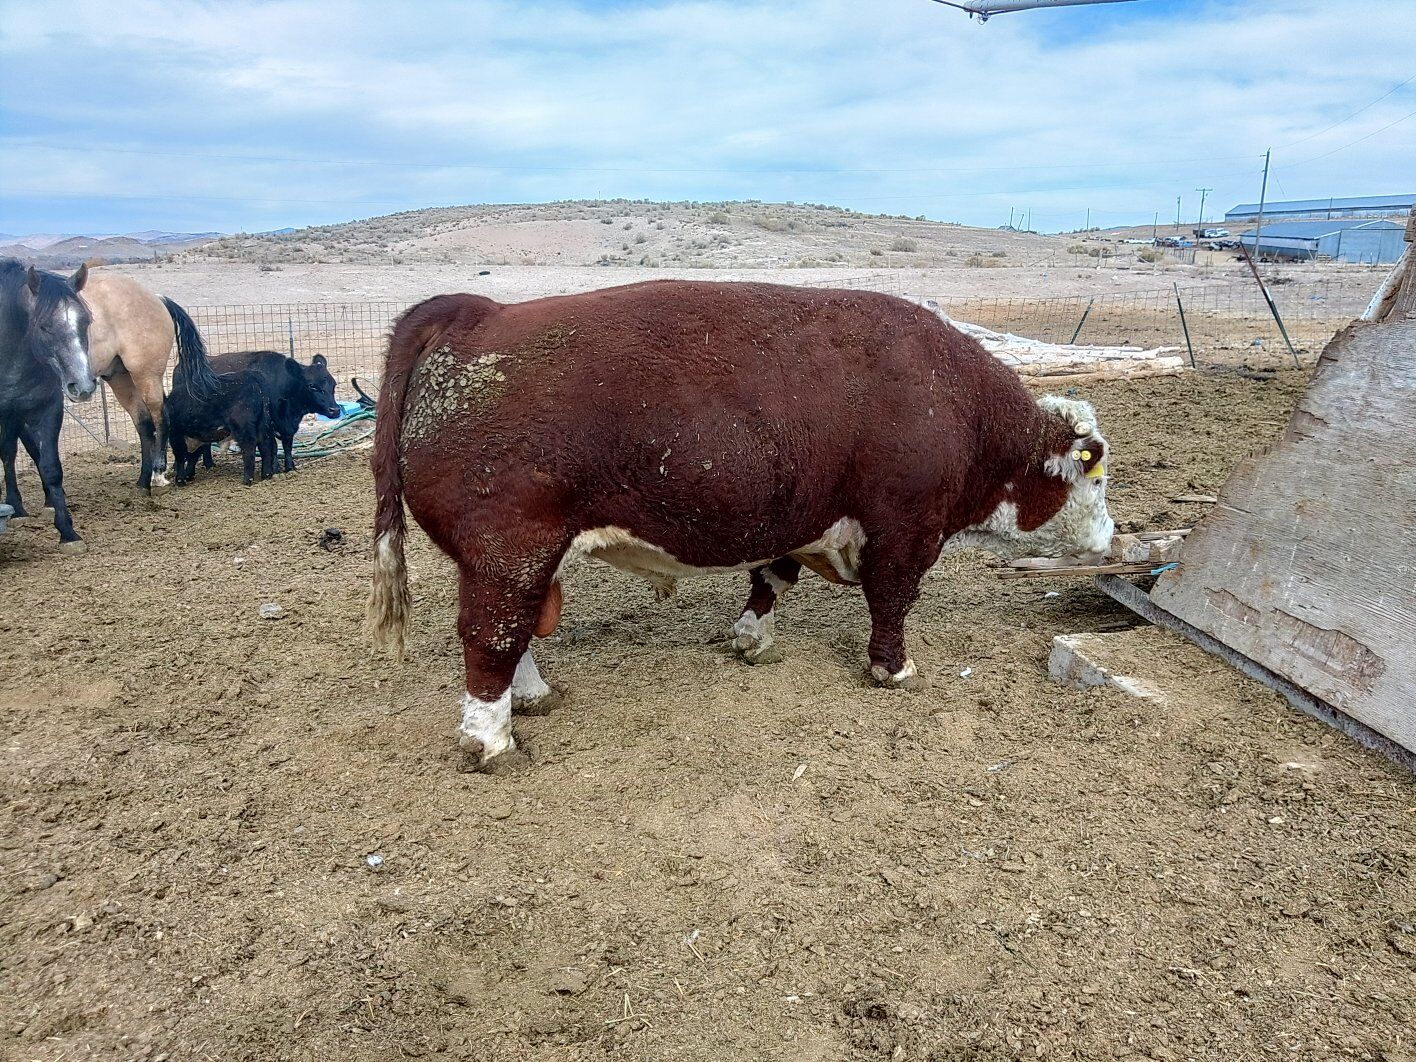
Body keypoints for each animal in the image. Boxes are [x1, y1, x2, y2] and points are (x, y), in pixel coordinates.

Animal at [203, 351, 342, 472]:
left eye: (334, 384)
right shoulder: (268, 424)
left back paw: (209, 464)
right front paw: (275, 469)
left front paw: (290, 467)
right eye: (312, 386)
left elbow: (287, 445)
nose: (335, 410)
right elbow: (274, 446)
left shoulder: (289, 426)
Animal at [367, 280, 1113, 769]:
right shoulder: (905, 530)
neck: (959, 406)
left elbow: (771, 579)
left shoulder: (795, 518)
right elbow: (892, 600)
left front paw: (753, 639)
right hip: (509, 548)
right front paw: (892, 668)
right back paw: (491, 739)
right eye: (1098, 473)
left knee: (515, 630)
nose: (1111, 540)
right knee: (490, 633)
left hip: (512, 558)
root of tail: (477, 313)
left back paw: (532, 697)